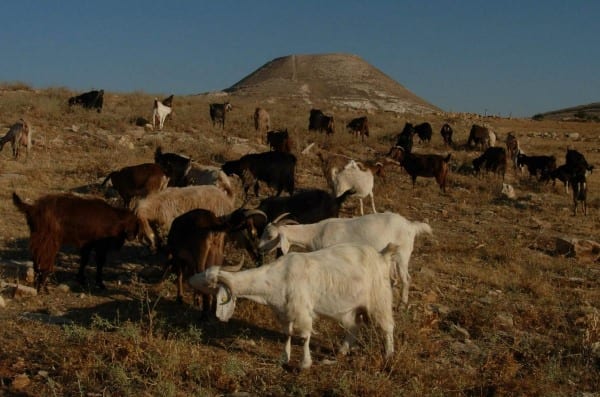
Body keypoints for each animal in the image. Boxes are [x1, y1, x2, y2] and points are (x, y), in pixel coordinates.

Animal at [190, 241, 400, 368]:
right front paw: (285, 358)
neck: (277, 277)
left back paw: (389, 355)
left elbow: (304, 337)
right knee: (353, 327)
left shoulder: (302, 312)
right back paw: (342, 351)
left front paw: (304, 364)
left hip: (379, 300)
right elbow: (287, 335)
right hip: (353, 307)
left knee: (387, 327)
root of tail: (382, 255)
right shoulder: (285, 312)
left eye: (208, 282)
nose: (190, 280)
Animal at [256, 210, 432, 304]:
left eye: (270, 235)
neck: (315, 233)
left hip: (404, 254)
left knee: (407, 278)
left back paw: (403, 302)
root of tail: (411, 226)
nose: (258, 248)